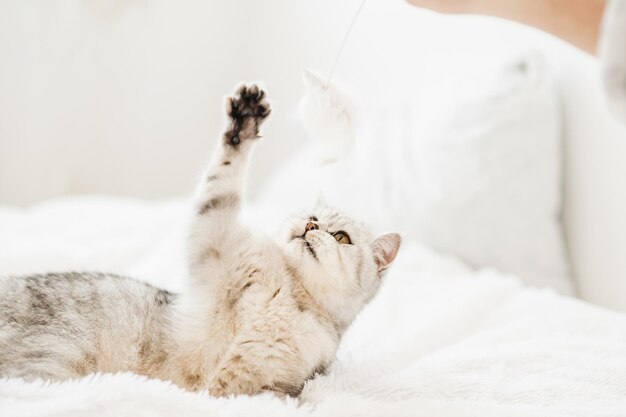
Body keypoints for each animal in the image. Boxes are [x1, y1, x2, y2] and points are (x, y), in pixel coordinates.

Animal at [0, 83, 400, 396]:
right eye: (310, 216)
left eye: (341, 236)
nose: (310, 227)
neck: (288, 291)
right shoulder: (216, 237)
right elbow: (224, 177)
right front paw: (245, 118)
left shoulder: (263, 384)